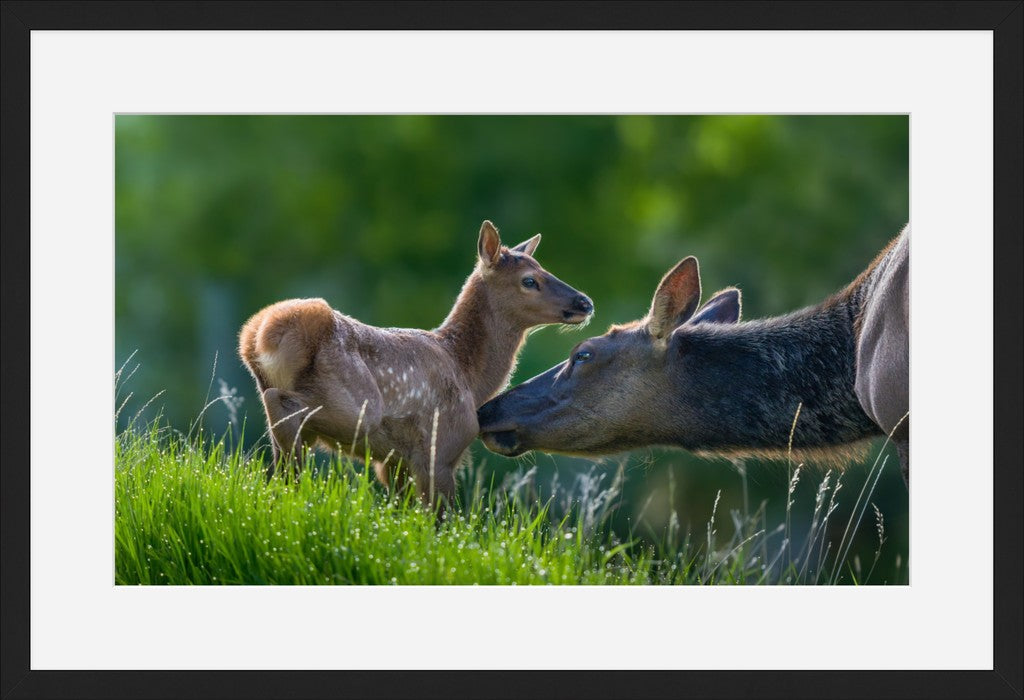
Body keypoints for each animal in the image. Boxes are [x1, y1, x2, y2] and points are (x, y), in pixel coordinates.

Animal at [239, 219, 593, 503]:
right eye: (530, 280)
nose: (585, 302)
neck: (469, 375)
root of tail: (261, 333)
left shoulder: (394, 462)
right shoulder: (440, 449)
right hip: (357, 406)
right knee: (282, 404)